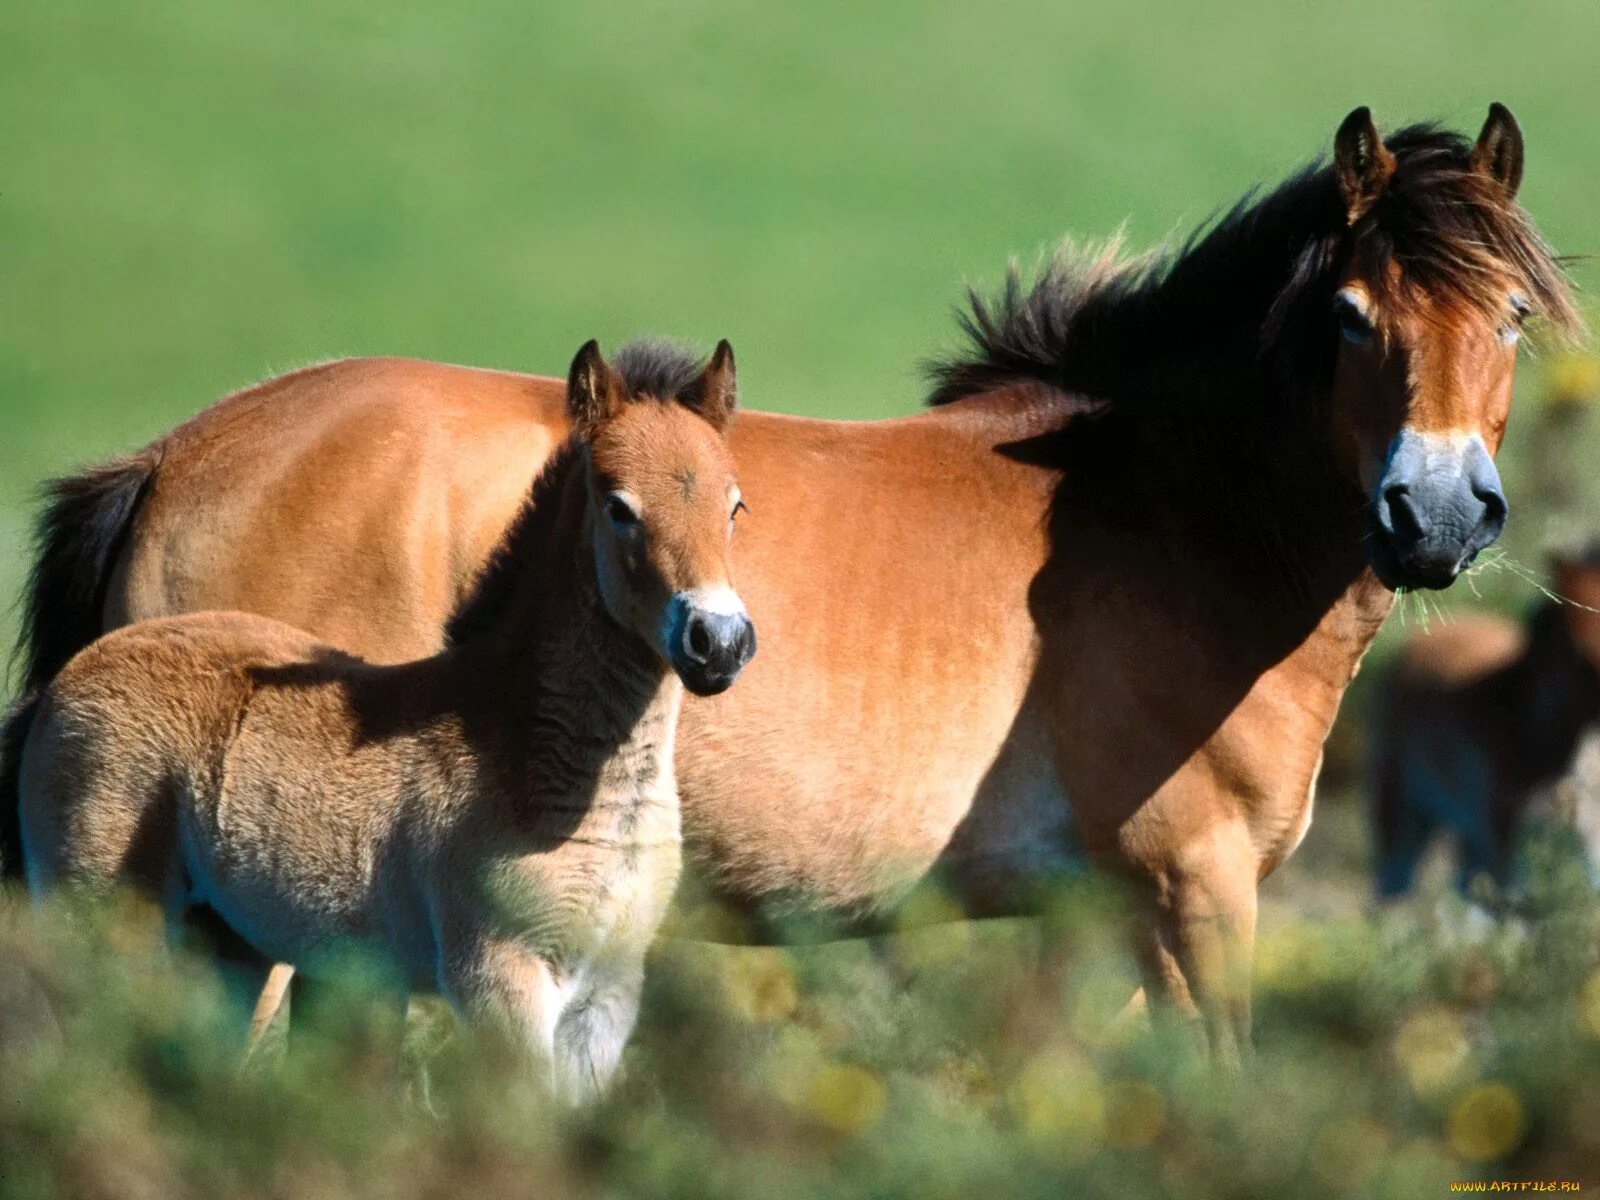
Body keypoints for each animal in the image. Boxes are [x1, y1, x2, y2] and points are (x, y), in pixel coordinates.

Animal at [17, 340, 755, 1107]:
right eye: (619, 507)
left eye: (734, 505)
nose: (719, 641)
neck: (521, 743)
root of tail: (68, 678)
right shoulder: (498, 979)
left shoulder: (605, 996)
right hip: (104, 925)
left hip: (226, 945)